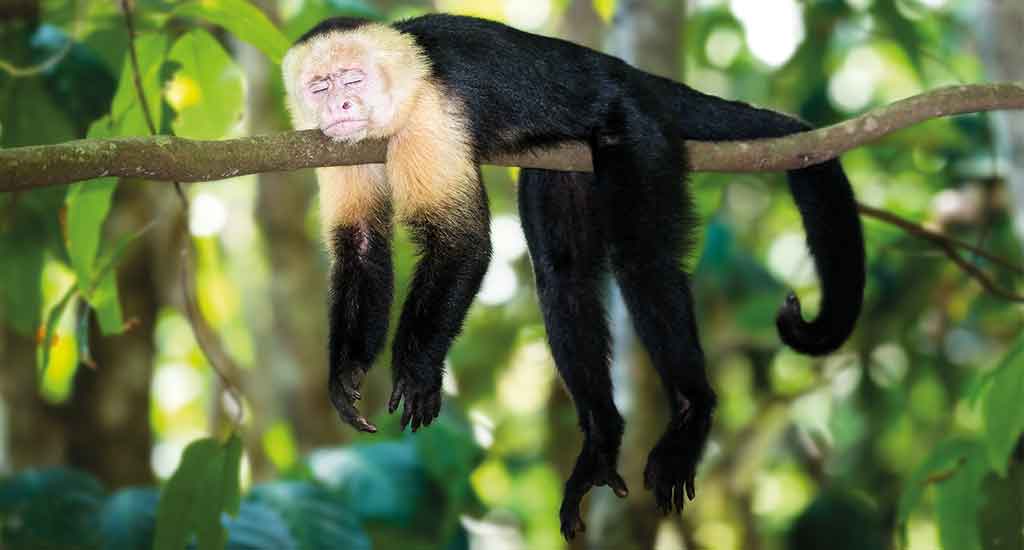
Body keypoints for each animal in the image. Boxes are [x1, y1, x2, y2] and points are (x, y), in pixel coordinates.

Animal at [282, 14, 865, 539]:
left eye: (353, 80)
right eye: (320, 86)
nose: (339, 107)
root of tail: (626, 72)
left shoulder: (429, 117)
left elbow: (460, 245)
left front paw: (417, 370)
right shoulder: (338, 146)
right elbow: (362, 248)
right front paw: (346, 374)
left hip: (638, 128)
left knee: (642, 263)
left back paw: (691, 413)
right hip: (566, 156)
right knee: (562, 279)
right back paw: (602, 441)